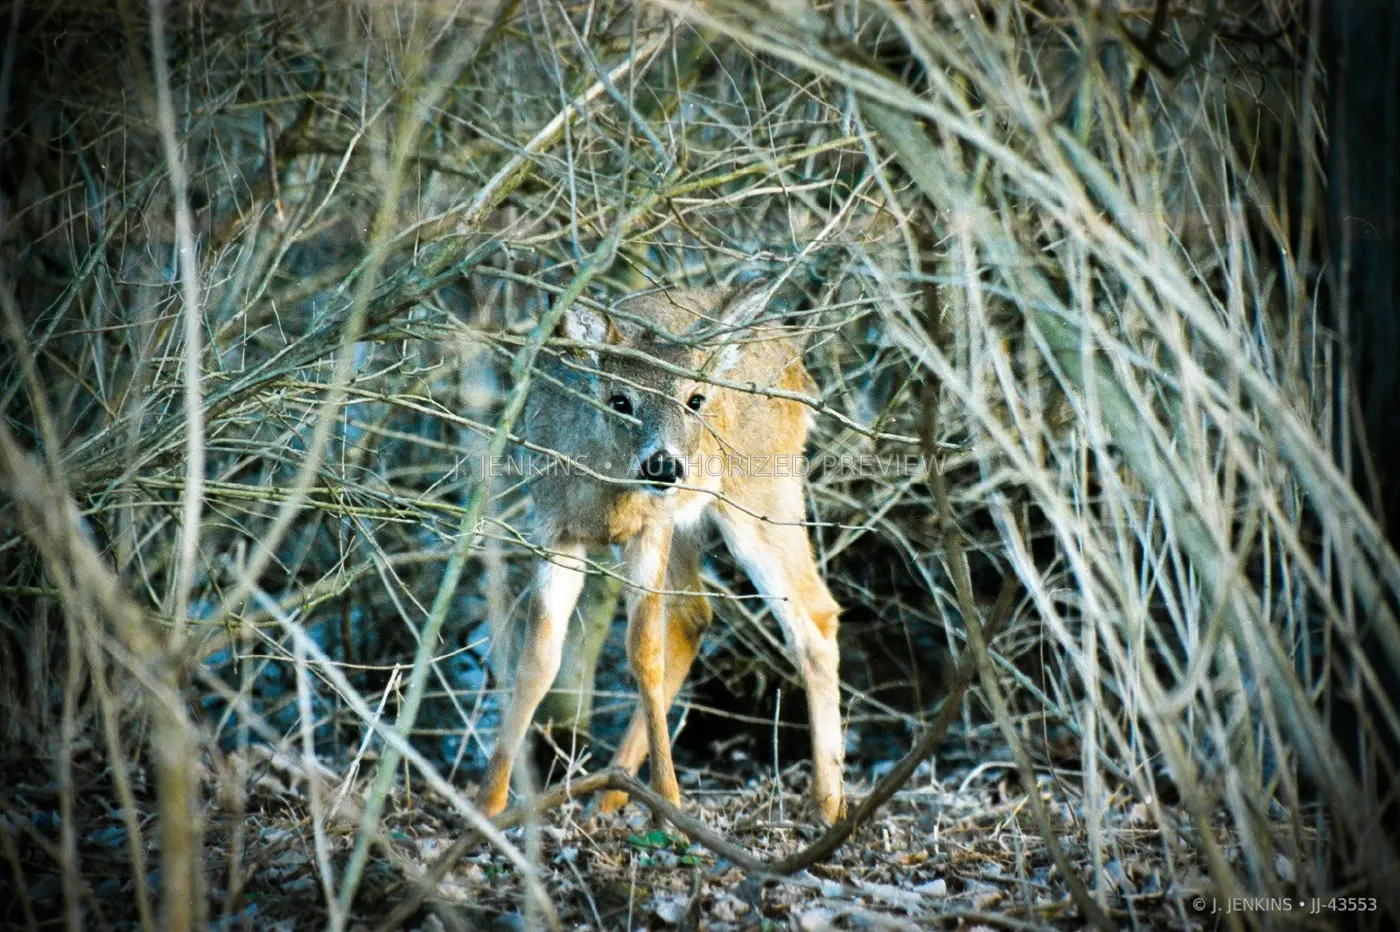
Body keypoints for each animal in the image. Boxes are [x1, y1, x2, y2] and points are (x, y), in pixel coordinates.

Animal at [476, 285, 845, 824]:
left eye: (695, 399)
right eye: (620, 400)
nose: (664, 465)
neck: (605, 499)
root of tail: (797, 361)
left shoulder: (652, 527)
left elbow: (643, 651)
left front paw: (669, 800)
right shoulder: (553, 529)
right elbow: (538, 660)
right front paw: (489, 804)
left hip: (760, 494)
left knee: (813, 617)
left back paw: (829, 803)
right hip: (694, 520)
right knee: (694, 616)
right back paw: (610, 794)